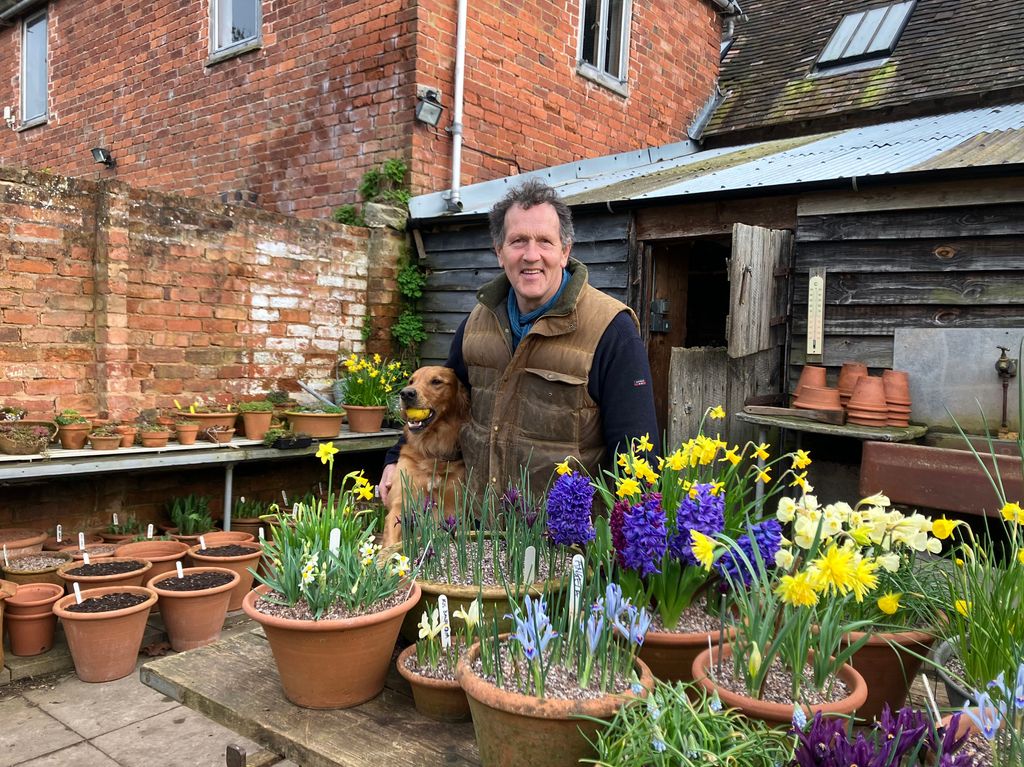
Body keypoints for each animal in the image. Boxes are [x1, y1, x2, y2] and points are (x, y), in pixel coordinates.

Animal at [382, 364, 468, 544]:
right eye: (411, 381)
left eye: (436, 381)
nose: (406, 393)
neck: (431, 451)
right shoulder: (401, 504)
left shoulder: (453, 507)